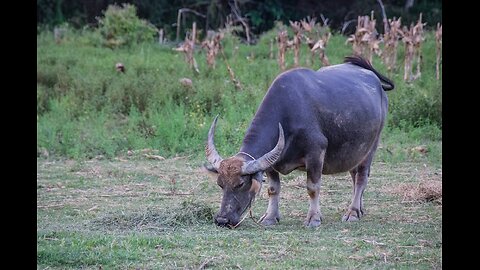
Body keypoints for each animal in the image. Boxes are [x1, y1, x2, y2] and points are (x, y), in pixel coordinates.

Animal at [205, 56, 394, 227]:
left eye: (240, 184)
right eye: (220, 184)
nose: (222, 220)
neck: (288, 115)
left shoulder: (316, 154)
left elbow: (312, 187)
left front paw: (314, 218)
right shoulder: (272, 162)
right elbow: (273, 189)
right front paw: (270, 217)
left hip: (371, 146)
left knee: (362, 177)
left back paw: (353, 212)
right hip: (355, 152)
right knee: (355, 176)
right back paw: (359, 209)